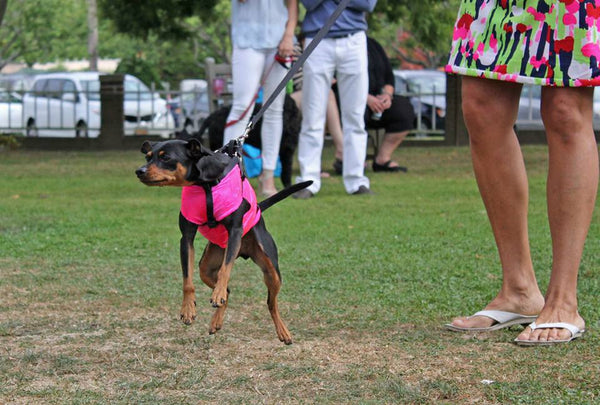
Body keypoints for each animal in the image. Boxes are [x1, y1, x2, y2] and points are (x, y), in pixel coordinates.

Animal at [134, 137, 308, 342]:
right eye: (148, 157)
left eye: (166, 157)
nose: (139, 171)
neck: (205, 183)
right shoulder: (186, 238)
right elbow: (187, 280)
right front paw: (188, 308)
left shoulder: (235, 232)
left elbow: (226, 269)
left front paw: (216, 294)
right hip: (207, 267)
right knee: (228, 290)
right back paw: (216, 321)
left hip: (271, 268)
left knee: (271, 302)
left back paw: (282, 331)